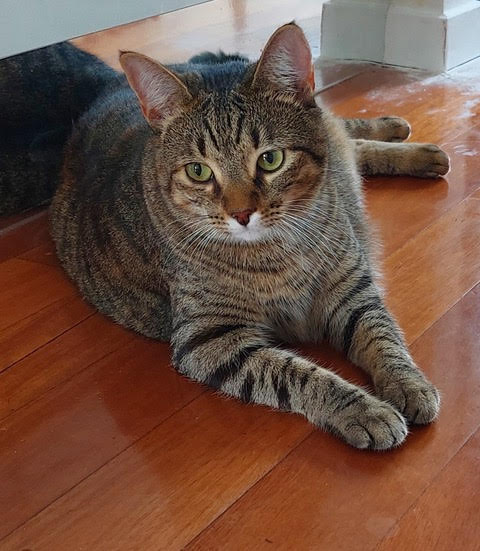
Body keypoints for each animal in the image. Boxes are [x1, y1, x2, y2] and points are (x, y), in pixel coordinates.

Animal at [0, 23, 450, 450]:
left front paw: (408, 383)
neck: (274, 251)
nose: (241, 214)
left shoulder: (351, 290)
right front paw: (363, 409)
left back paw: (408, 138)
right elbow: (298, 374)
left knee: (342, 129)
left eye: (271, 160)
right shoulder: (209, 339)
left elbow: (382, 337)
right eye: (198, 171)